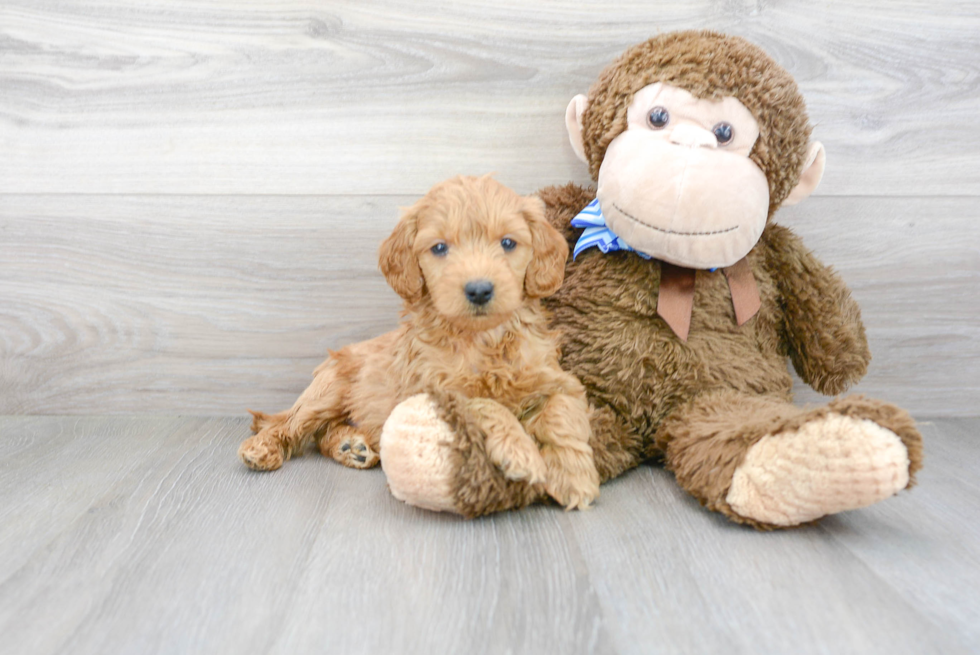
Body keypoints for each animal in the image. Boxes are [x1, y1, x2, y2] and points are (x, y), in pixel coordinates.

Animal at [241, 176, 600, 512]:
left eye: (508, 243)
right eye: (439, 248)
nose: (479, 290)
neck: (482, 338)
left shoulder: (556, 379)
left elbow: (562, 413)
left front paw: (573, 474)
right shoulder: (435, 392)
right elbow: (486, 404)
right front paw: (521, 452)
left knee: (323, 433)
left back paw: (352, 446)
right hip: (327, 390)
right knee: (292, 424)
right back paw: (261, 448)